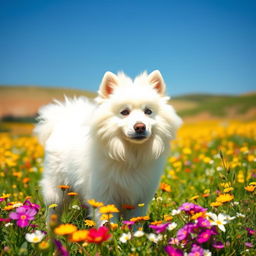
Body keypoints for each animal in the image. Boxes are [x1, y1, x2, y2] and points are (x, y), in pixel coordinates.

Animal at [34, 70, 182, 224]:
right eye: (124, 112)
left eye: (148, 111)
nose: (140, 127)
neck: (130, 156)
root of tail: (63, 119)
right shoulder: (104, 196)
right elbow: (108, 223)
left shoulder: (140, 199)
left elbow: (135, 223)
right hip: (57, 189)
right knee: (53, 211)